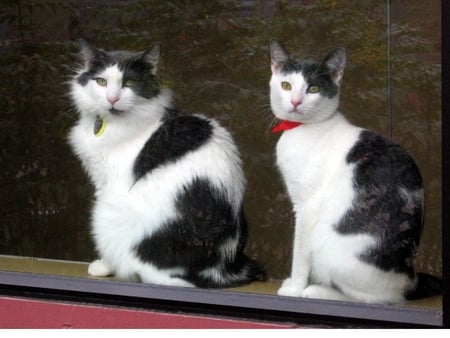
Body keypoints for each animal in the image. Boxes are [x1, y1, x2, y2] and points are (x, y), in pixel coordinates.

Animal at [67, 40, 266, 288]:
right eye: (101, 81)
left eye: (129, 83)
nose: (112, 99)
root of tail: (220, 269)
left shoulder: (106, 183)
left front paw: (103, 266)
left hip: (107, 211)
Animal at [268, 39, 440, 304]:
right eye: (286, 85)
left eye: (313, 89)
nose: (295, 102)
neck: (303, 129)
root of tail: (408, 279)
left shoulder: (307, 206)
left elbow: (299, 254)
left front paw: (295, 287)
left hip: (326, 244)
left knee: (372, 299)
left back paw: (315, 291)